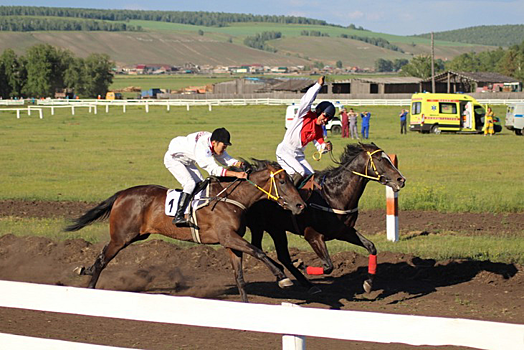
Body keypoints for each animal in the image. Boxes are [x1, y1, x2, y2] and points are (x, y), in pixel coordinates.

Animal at [63, 160, 304, 302]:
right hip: (122, 236)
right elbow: (259, 252)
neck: (231, 199)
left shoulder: (231, 242)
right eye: (282, 181)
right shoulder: (228, 237)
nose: (300, 205)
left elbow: (240, 277)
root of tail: (122, 194)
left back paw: (86, 272)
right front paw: (283, 277)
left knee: (101, 256)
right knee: (103, 259)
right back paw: (90, 286)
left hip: (134, 235)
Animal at [245, 142, 406, 292]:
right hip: (260, 226)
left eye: (389, 158)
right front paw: (304, 266)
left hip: (275, 228)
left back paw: (304, 283)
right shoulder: (313, 235)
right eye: (380, 159)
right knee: (259, 248)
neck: (333, 195)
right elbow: (329, 266)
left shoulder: (343, 232)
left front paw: (368, 283)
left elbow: (371, 247)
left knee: (280, 255)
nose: (401, 180)